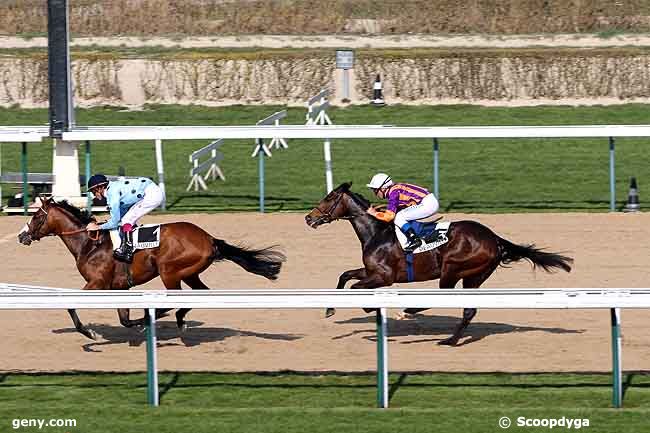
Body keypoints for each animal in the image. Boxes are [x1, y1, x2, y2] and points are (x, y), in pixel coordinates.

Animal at [17, 197, 284, 340]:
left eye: (36, 217)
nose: (22, 235)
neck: (89, 244)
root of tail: (209, 239)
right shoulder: (118, 288)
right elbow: (124, 319)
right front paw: (134, 323)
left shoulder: (97, 283)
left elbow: (72, 304)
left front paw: (89, 333)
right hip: (190, 273)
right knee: (201, 293)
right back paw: (175, 319)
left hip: (170, 271)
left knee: (177, 297)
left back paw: (164, 315)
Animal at [304, 182, 572, 344]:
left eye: (330, 197)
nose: (308, 218)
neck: (377, 232)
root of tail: (494, 238)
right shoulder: (370, 271)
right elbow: (345, 275)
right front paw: (330, 309)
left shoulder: (384, 277)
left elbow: (355, 288)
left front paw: (369, 309)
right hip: (474, 276)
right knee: (468, 309)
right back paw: (451, 340)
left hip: (452, 268)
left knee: (444, 296)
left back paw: (408, 311)